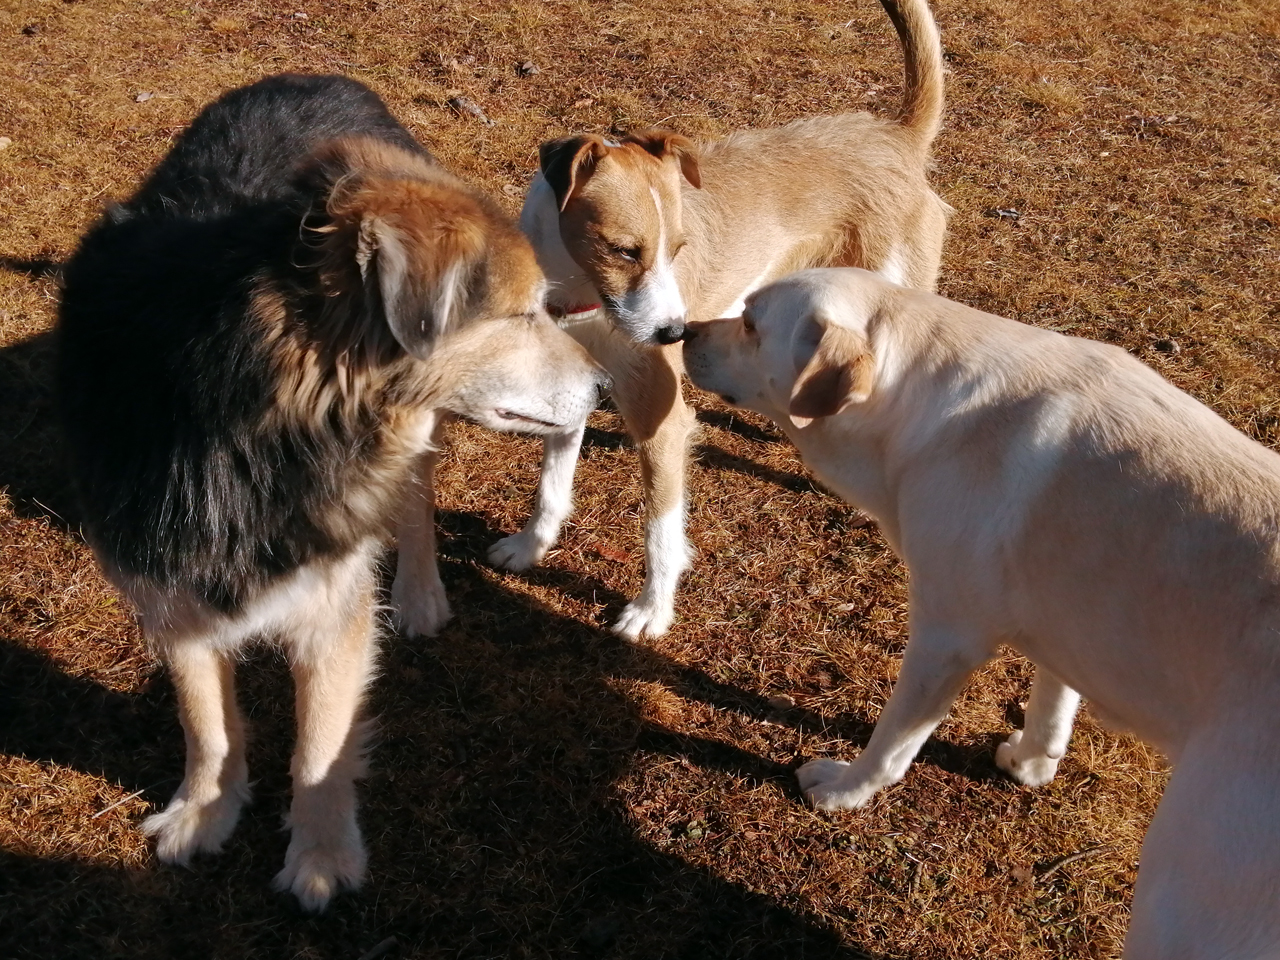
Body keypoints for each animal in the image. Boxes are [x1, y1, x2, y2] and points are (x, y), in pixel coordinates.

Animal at [55, 73, 604, 911]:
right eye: (521, 314)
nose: (605, 389)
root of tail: (321, 76)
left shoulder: (330, 603)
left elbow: (319, 745)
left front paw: (320, 855)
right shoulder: (168, 586)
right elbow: (205, 721)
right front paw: (206, 810)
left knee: (414, 498)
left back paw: (417, 593)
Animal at [488, 0, 952, 642]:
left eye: (678, 248)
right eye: (623, 251)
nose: (674, 335)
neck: (582, 301)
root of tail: (896, 136)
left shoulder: (663, 420)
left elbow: (660, 531)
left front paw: (652, 610)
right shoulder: (569, 393)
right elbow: (550, 488)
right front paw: (531, 546)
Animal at [686, 264, 1280, 960]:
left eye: (752, 325)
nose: (681, 331)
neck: (917, 401)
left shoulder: (946, 636)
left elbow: (893, 743)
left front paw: (845, 791)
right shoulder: (1064, 617)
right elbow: (1054, 704)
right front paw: (1032, 762)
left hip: (1182, 890)